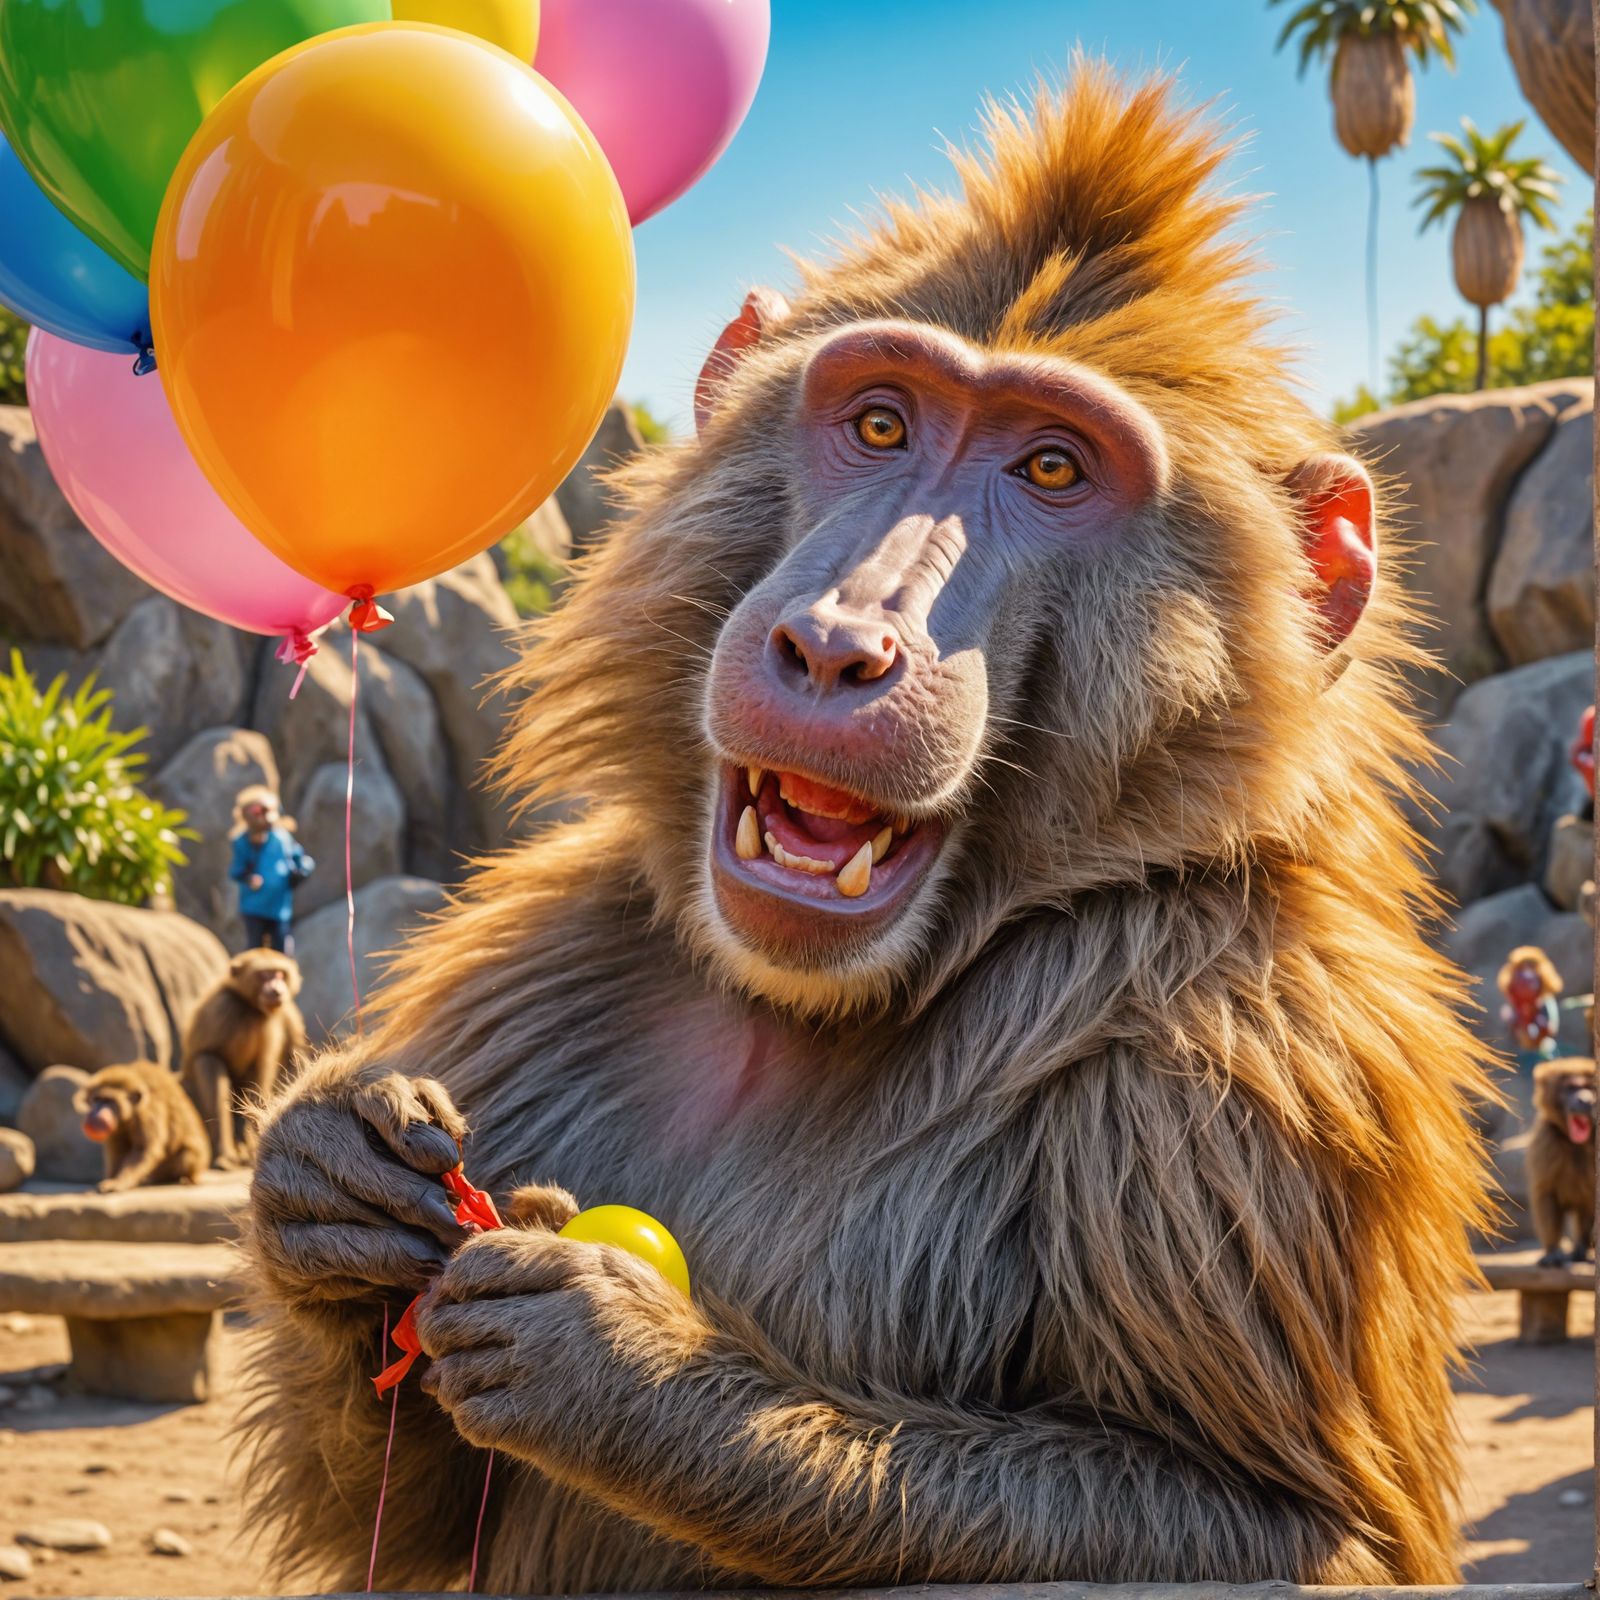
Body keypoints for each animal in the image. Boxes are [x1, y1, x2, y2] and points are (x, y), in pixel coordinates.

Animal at [75, 1061, 211, 1192]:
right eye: (97, 1099)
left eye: (110, 1101)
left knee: (188, 1152)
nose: (97, 1114)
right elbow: (118, 1150)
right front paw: (112, 1178)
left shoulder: (148, 1111)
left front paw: (118, 1182)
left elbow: (143, 1149)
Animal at [182, 949, 306, 1170]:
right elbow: (207, 1057)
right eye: (264, 975)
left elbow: (268, 1072)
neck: (251, 1008)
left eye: (279, 974)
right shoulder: (222, 1007)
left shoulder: (287, 1010)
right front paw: (224, 1154)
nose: (276, 990)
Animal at [236, 66, 1493, 1592]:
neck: (814, 1005)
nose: (838, 646)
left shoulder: (1245, 1062)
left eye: (1055, 468)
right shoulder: (539, 956)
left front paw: (627, 1374)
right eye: (882, 425)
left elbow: (1303, 1536)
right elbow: (405, 1516)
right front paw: (327, 1189)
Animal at [1527, 1058, 1596, 1267]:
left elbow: (1590, 1200)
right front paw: (1553, 1252)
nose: (1585, 1101)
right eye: (1571, 1087)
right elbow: (1546, 1193)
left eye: (1590, 1087)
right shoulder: (1547, 1141)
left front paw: (1581, 1248)